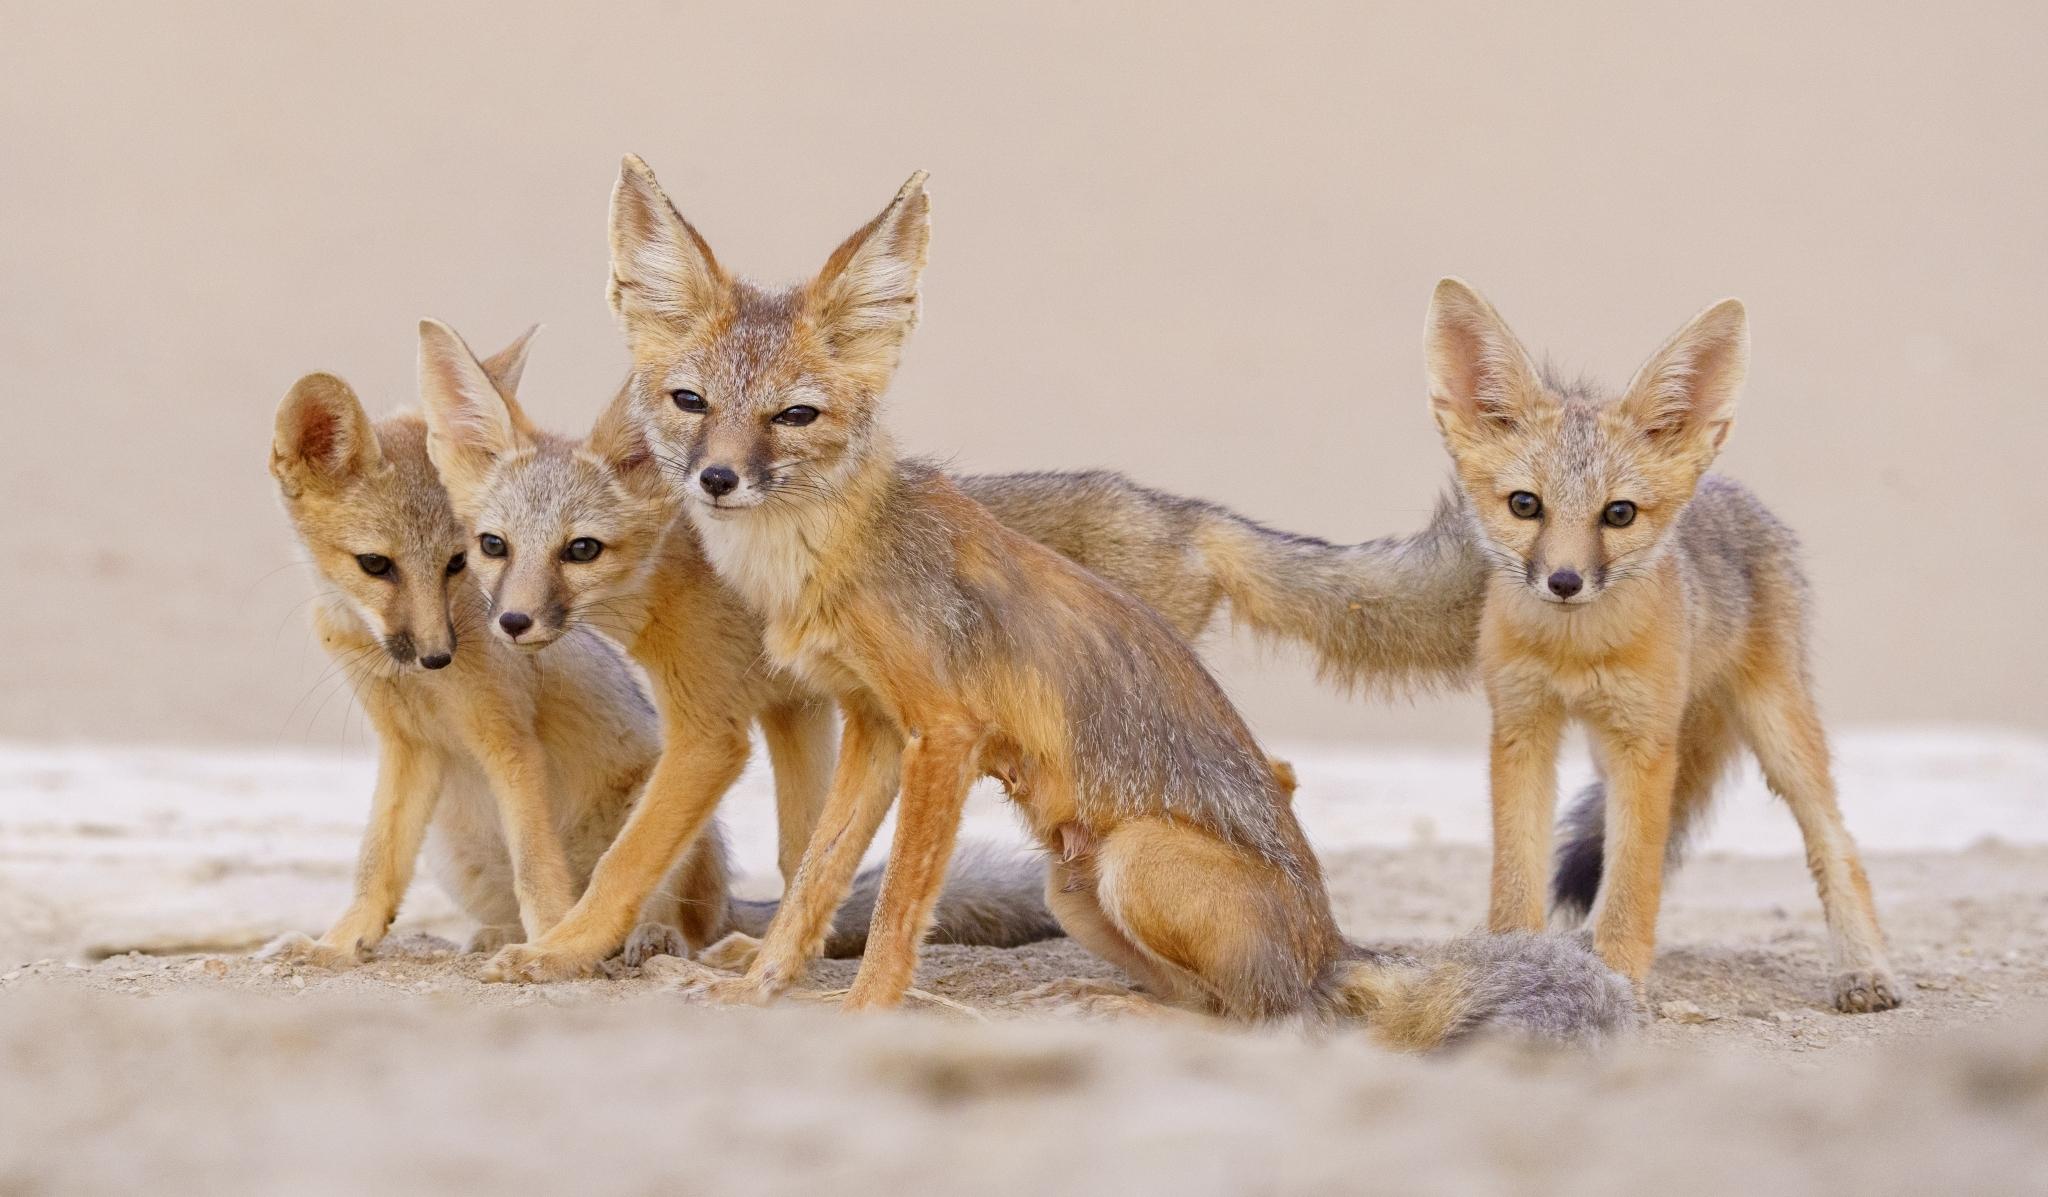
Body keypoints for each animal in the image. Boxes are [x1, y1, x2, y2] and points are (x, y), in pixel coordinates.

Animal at [266, 338, 1057, 970]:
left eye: (458, 560)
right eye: (377, 566)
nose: (435, 655)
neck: (408, 678)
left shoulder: (507, 739)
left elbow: (540, 870)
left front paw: (555, 945)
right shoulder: (409, 744)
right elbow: (377, 865)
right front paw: (339, 944)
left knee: (681, 913)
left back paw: (650, 940)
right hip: (458, 848)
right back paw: (499, 935)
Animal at [418, 314, 1479, 985]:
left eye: (581, 549)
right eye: (492, 547)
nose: (513, 624)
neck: (689, 565)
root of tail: (1180, 510)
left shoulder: (714, 731)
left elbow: (627, 862)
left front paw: (563, 951)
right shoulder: (806, 708)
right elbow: (805, 847)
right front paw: (779, 957)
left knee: (1272, 791)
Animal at [583, 154, 1637, 1047]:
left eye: (792, 416)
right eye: (689, 403)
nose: (718, 478)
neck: (834, 555)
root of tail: (1333, 948)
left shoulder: (943, 733)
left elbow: (893, 906)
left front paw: (865, 1012)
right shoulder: (876, 727)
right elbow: (816, 879)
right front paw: (758, 984)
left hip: (1133, 859)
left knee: (1266, 1020)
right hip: (1071, 888)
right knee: (1217, 1002)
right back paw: (1107, 1001)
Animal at [1421, 277, 1899, 1013]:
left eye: (1618, 513)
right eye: (1525, 505)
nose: (1565, 581)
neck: (1575, 651)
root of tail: (1729, 487)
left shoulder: (1645, 745)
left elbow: (1633, 882)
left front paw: (1618, 973)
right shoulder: (1523, 730)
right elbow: (1517, 872)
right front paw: (1515, 960)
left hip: (1779, 735)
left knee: (1836, 841)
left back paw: (1864, 968)